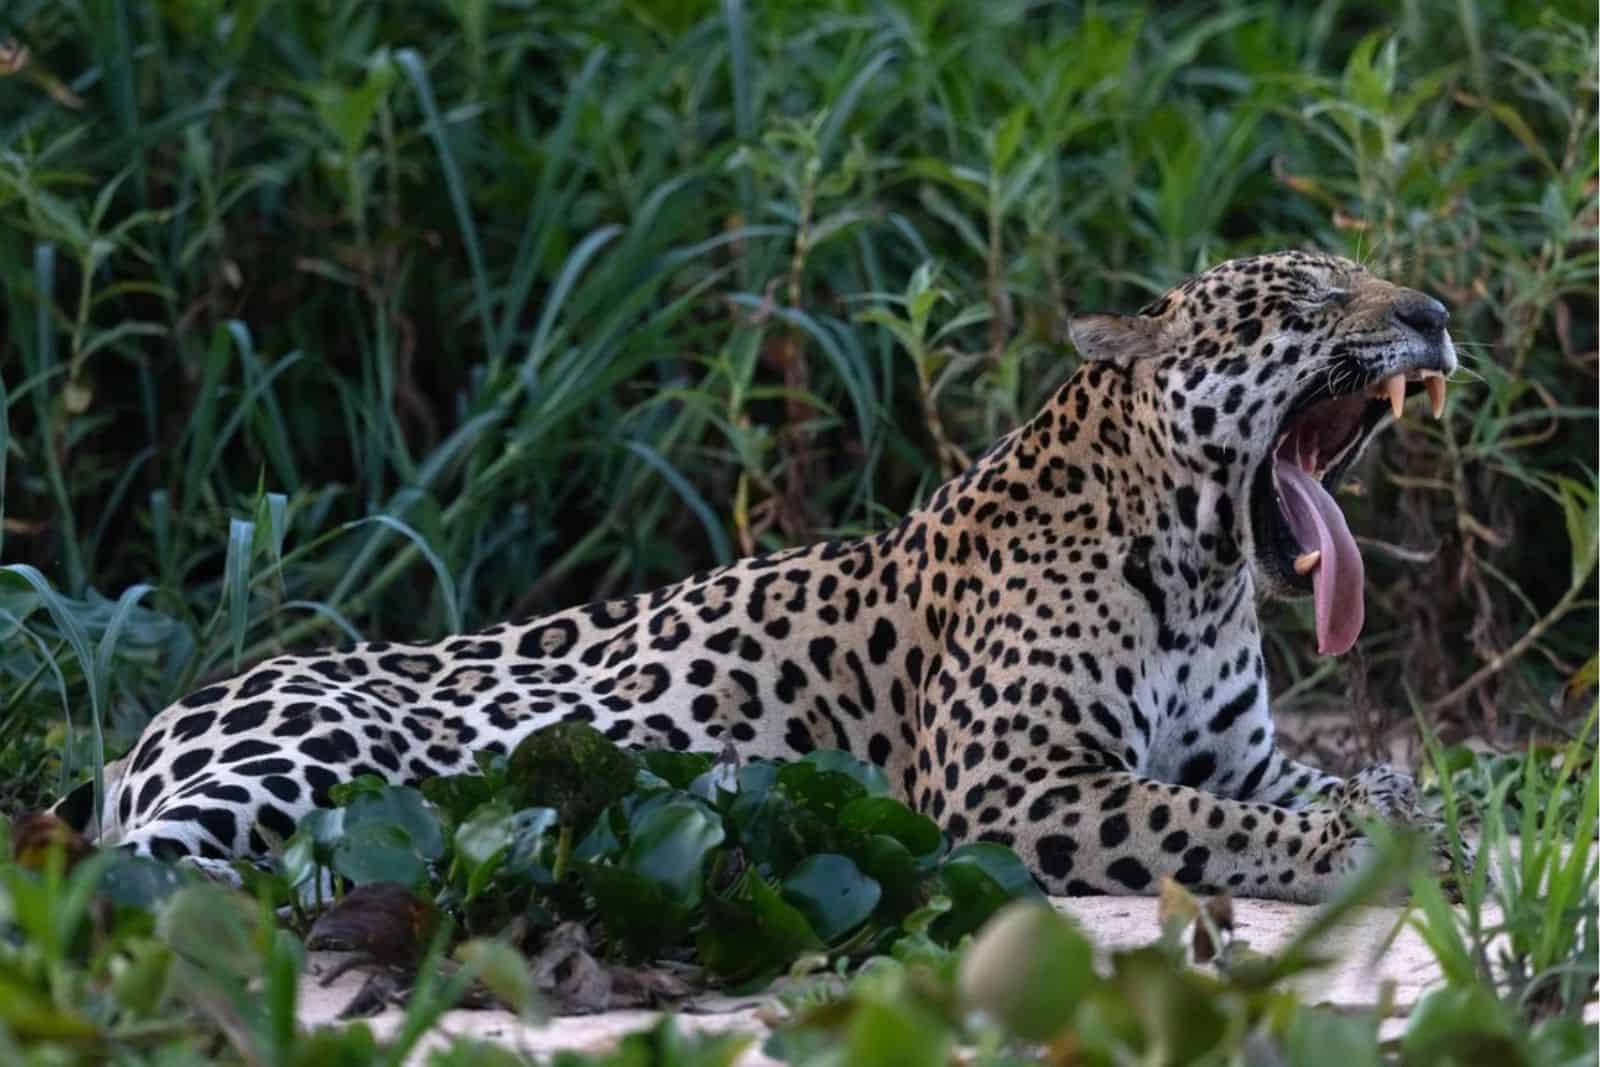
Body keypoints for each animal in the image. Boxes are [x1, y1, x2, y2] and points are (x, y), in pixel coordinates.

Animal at [55, 250, 1466, 903]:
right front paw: (1360, 844)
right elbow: (1199, 823)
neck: (1192, 570)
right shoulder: (1007, 787)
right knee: (134, 875)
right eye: (1307, 298)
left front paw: (1437, 804)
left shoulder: (1247, 755)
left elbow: (1333, 779)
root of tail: (145, 733)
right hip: (310, 753)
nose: (1437, 312)